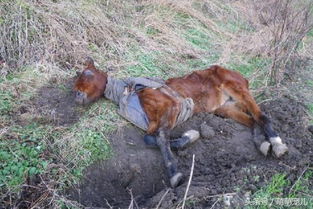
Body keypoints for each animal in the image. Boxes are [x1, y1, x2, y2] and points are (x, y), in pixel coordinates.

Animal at [73, 57, 288, 188]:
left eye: (87, 74)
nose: (76, 96)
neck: (131, 93)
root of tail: (238, 74)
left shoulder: (172, 106)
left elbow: (160, 138)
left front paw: (174, 174)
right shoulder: (153, 122)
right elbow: (150, 138)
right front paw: (189, 136)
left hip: (238, 89)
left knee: (262, 116)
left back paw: (277, 143)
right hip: (225, 107)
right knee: (253, 121)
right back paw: (261, 142)